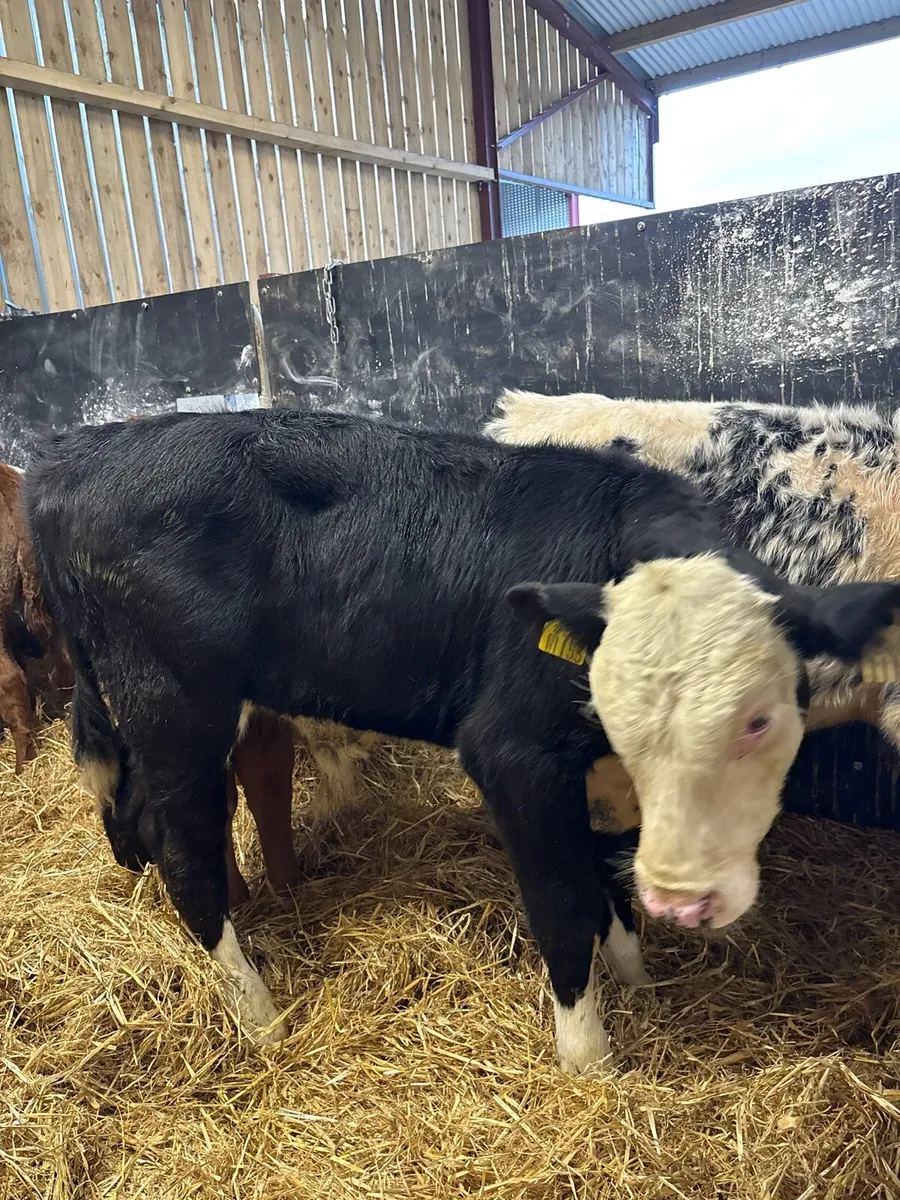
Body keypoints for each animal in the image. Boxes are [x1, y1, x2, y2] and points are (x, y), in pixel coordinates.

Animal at [23, 410, 900, 1072]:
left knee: (136, 816)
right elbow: (564, 901)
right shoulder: (513, 755)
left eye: (761, 717)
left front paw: (640, 983)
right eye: (618, 709)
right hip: (174, 702)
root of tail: (77, 449)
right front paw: (590, 1059)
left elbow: (608, 881)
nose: (685, 899)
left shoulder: (597, 780)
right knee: (185, 850)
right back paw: (259, 1013)